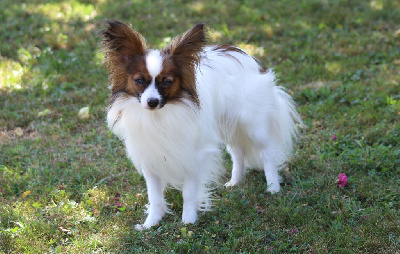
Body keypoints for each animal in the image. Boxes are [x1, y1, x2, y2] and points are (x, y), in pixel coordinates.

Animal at [99, 20, 300, 229]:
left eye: (167, 82)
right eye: (139, 80)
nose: (152, 102)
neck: (160, 116)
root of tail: (248, 58)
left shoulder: (194, 154)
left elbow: (189, 192)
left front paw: (188, 221)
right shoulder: (150, 155)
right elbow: (154, 196)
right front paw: (151, 223)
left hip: (253, 126)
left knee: (267, 153)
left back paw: (273, 187)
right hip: (228, 126)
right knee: (237, 151)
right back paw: (235, 181)